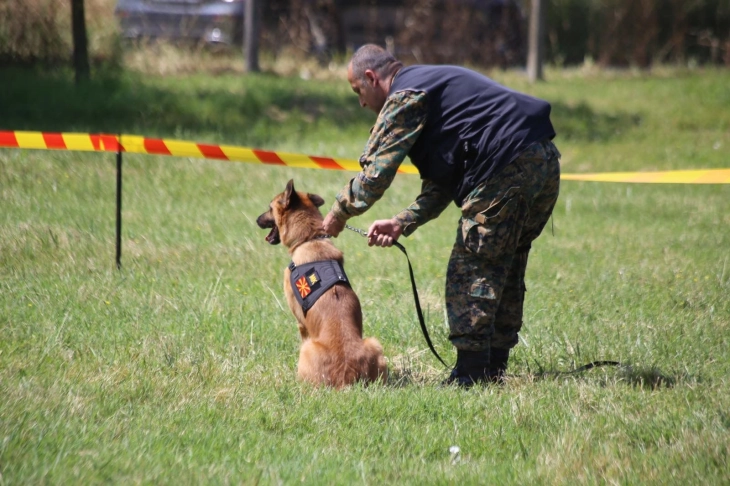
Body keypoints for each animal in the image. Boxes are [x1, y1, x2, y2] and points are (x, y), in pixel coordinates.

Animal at [253, 178, 386, 388]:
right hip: (374, 344)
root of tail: (346, 377)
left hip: (307, 349)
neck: (311, 238)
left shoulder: (300, 322)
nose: (256, 220)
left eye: (269, 208)